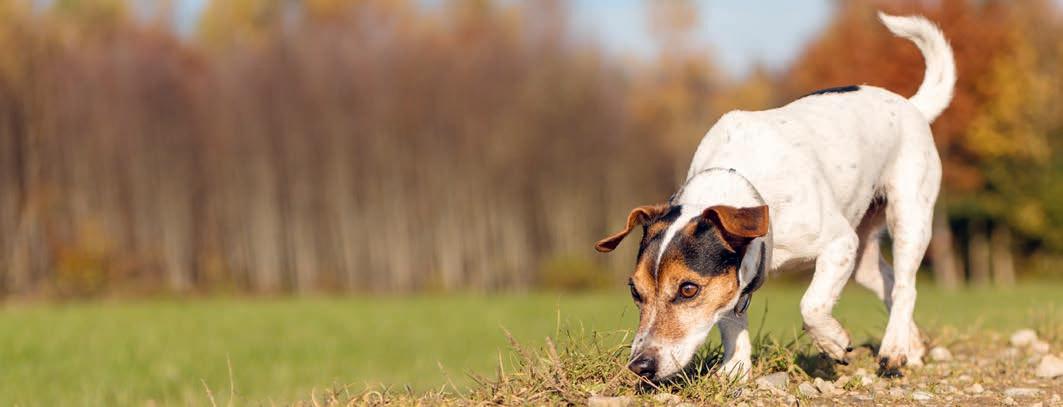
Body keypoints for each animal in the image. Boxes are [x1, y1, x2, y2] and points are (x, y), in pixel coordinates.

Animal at [595, 12, 955, 382]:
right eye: (635, 291)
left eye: (688, 289)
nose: (640, 366)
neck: (743, 179)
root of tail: (911, 106)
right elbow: (732, 320)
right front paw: (735, 371)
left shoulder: (839, 243)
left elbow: (811, 304)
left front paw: (832, 342)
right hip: (862, 252)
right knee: (887, 281)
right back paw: (911, 347)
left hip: (908, 217)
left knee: (905, 286)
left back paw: (894, 349)